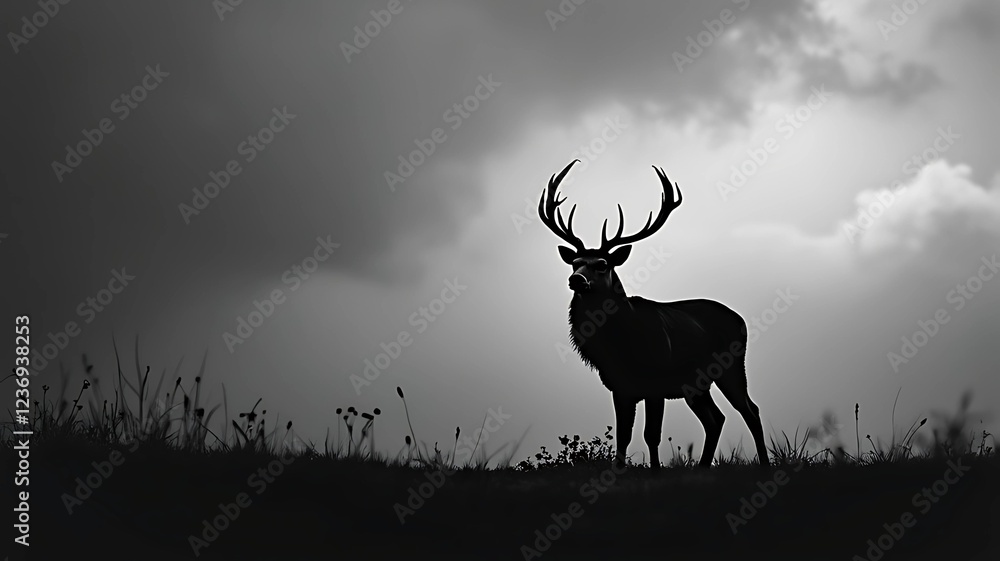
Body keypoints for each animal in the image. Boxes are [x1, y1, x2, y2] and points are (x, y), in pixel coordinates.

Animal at [538, 159, 769, 469]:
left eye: (602, 264)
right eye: (575, 262)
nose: (576, 279)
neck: (620, 348)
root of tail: (740, 319)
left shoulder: (656, 381)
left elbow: (651, 434)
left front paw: (656, 471)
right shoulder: (620, 387)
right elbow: (623, 435)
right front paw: (618, 471)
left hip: (731, 365)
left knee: (750, 409)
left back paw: (765, 463)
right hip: (695, 384)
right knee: (716, 418)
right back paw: (702, 467)